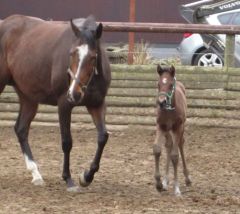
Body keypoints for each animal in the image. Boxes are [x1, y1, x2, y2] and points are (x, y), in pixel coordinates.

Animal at [0, 14, 110, 191]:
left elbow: (102, 137)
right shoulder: (64, 104)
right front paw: (68, 179)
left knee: (21, 129)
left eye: (93, 57)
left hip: (28, 97)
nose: (74, 94)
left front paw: (86, 177)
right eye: (71, 53)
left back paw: (36, 174)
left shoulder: (97, 104)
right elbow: (67, 142)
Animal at [154, 65, 191, 196]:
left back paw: (187, 178)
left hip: (181, 128)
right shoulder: (161, 126)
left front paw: (176, 188)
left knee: (180, 144)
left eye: (170, 85)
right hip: (167, 130)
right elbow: (157, 149)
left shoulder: (177, 127)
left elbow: (175, 156)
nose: (161, 102)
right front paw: (159, 184)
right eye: (158, 84)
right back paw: (165, 181)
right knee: (169, 145)